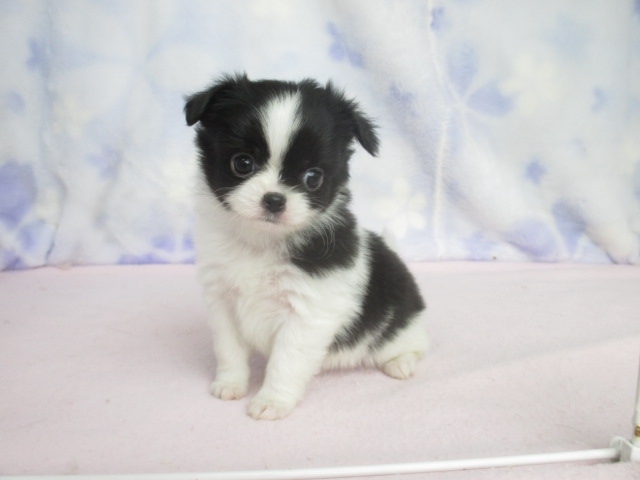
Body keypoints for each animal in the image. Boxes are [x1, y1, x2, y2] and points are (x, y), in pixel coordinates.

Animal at [184, 74, 427, 420]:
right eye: (242, 163)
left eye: (313, 177)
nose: (274, 199)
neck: (262, 242)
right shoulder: (222, 300)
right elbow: (229, 348)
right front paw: (230, 384)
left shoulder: (308, 312)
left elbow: (286, 361)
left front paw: (272, 401)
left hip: (399, 323)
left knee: (412, 343)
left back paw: (401, 363)